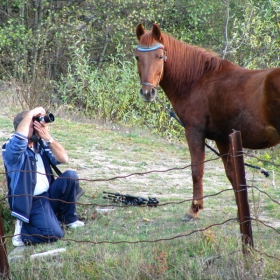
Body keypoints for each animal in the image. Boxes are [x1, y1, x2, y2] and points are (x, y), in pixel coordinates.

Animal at [135, 23, 280, 221]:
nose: (147, 92)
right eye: (137, 57)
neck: (197, 80)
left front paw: (193, 209)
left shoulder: (194, 131)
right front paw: (241, 214)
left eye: (159, 56)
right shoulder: (223, 138)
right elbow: (232, 175)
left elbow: (197, 170)